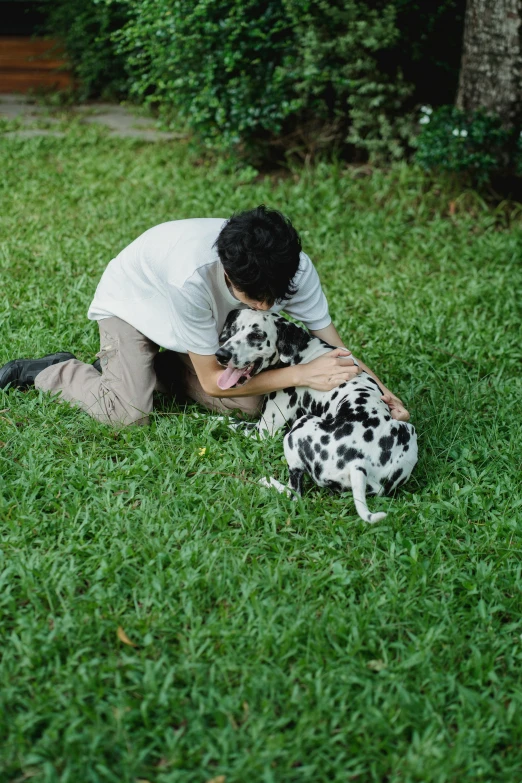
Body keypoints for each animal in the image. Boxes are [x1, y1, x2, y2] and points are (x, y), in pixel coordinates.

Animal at [213, 310, 416, 524]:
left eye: (257, 335)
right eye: (233, 329)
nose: (222, 355)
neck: (303, 353)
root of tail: (358, 463)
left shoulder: (264, 431)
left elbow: (228, 422)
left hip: (299, 428)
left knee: (294, 493)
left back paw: (267, 482)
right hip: (408, 430)